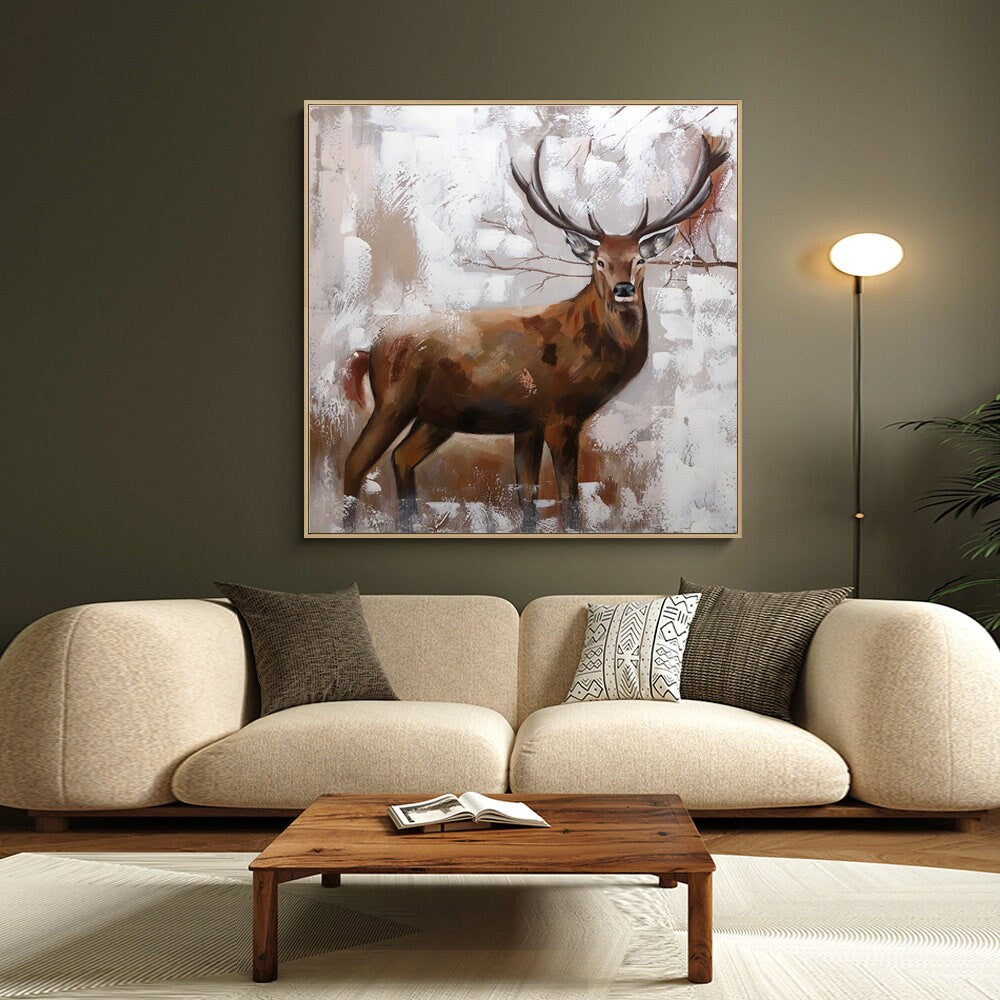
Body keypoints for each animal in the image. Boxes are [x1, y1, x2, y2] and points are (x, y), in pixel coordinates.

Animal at [341, 133, 729, 533]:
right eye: (600, 261)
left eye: (639, 259)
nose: (623, 289)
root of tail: (369, 349)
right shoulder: (559, 413)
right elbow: (568, 498)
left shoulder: (528, 421)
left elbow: (526, 494)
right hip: (393, 400)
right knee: (355, 462)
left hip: (436, 417)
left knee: (401, 457)